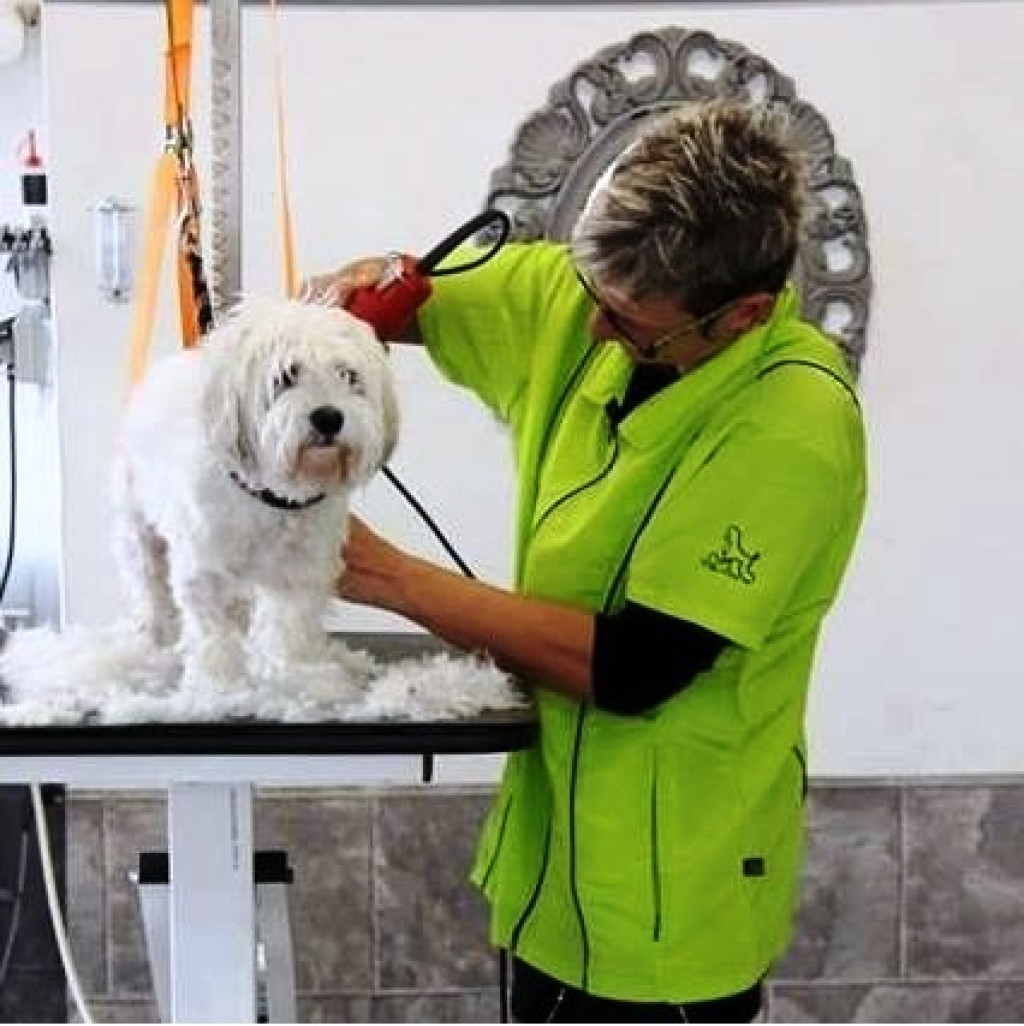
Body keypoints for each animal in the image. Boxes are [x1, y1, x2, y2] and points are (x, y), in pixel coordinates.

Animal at [114, 297, 398, 697]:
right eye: (286, 377)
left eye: (349, 376)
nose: (329, 417)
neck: (269, 498)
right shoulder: (204, 566)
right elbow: (211, 632)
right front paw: (216, 685)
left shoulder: (300, 569)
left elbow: (289, 627)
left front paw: (299, 676)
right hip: (137, 528)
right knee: (149, 583)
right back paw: (151, 638)